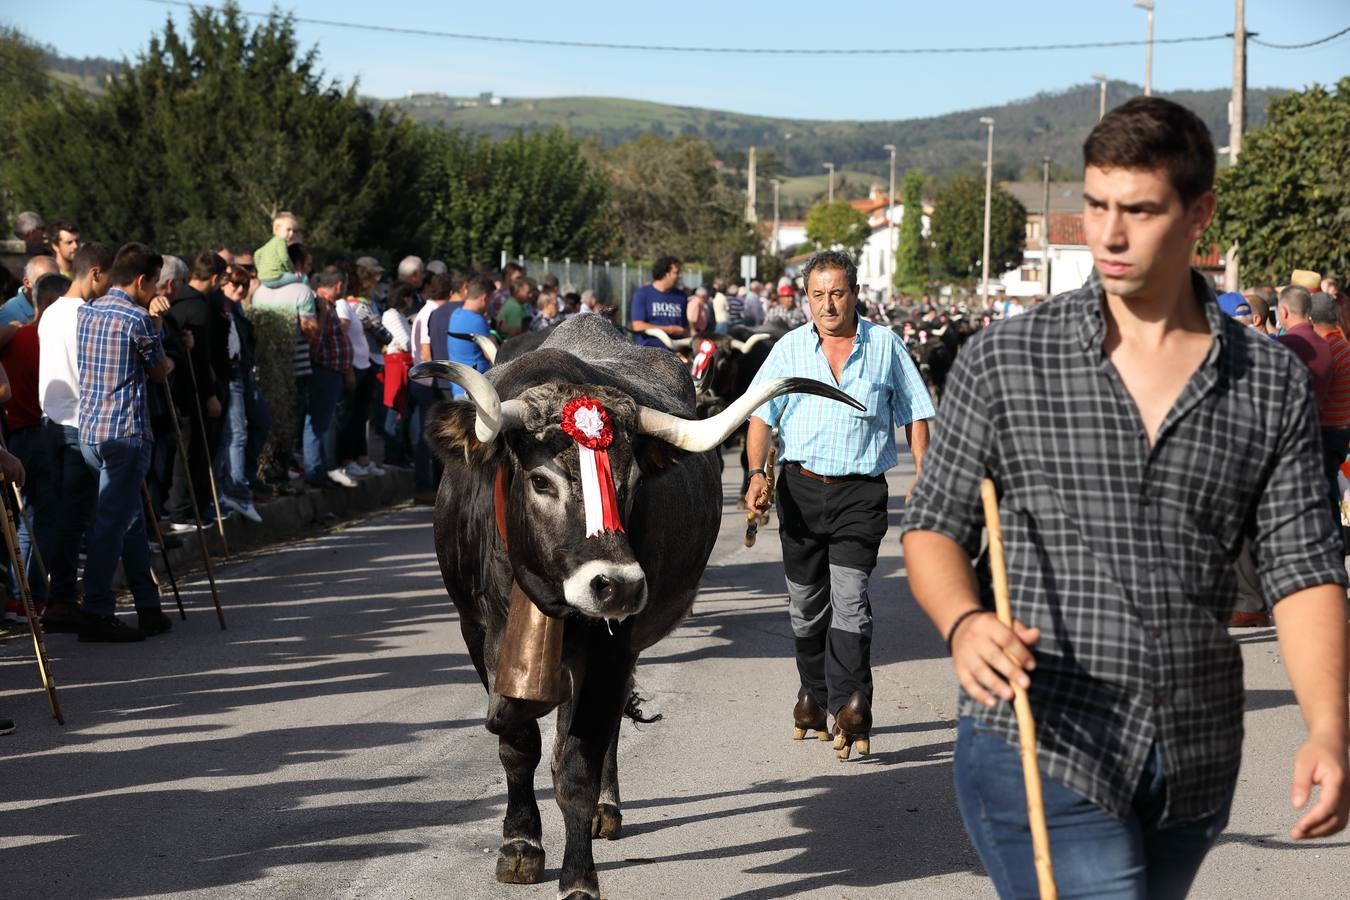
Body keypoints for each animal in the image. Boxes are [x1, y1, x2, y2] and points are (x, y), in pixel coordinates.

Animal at [410, 317, 858, 900]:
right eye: (540, 481)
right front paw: (520, 845)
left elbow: (577, 762)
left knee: (602, 730)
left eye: (632, 484)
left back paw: (607, 808)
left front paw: (578, 877)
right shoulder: (477, 632)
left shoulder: (610, 645)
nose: (616, 587)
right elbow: (519, 745)